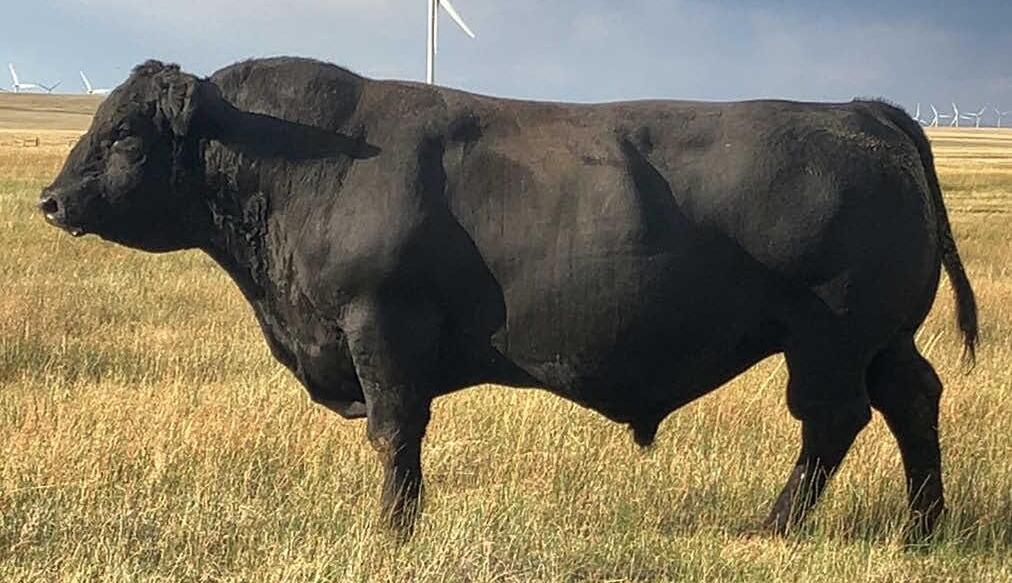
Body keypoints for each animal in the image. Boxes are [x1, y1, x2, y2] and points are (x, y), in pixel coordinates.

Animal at [40, 57, 978, 540]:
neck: (304, 161)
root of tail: (860, 111)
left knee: (832, 421)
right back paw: (923, 526)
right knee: (913, 402)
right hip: (881, 338)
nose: (51, 200)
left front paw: (393, 532)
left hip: (829, 337)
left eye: (123, 132)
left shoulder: (381, 328)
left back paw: (774, 526)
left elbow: (395, 434)